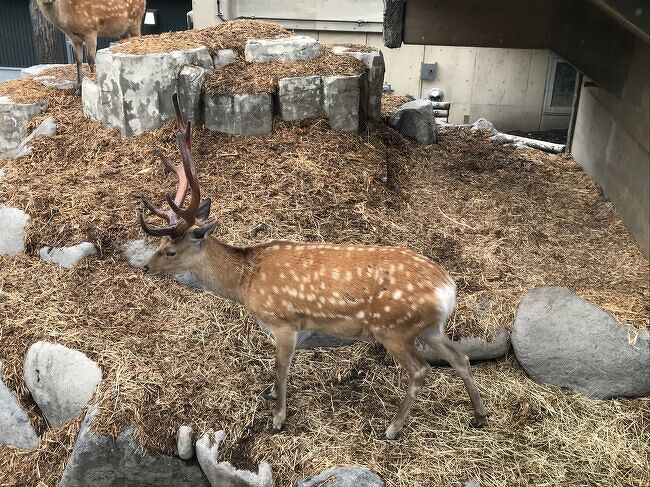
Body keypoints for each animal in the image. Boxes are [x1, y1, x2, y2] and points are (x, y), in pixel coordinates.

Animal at [138, 93, 486, 440]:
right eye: (161, 244)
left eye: (170, 250)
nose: (145, 267)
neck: (246, 282)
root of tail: (448, 288)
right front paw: (271, 399)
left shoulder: (285, 322)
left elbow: (281, 369)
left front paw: (277, 418)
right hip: (430, 327)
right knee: (461, 357)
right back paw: (479, 415)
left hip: (394, 328)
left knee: (421, 370)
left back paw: (392, 427)